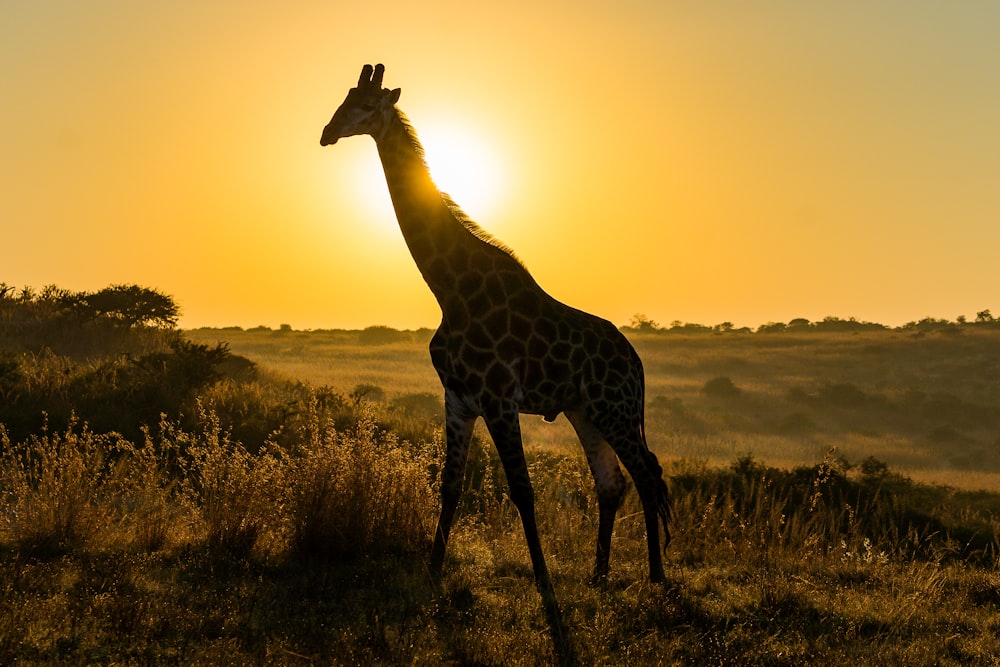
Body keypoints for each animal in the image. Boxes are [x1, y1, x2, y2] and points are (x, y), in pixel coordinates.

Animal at [316, 62, 668, 588]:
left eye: (365, 104)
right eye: (343, 99)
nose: (326, 132)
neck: (450, 289)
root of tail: (637, 362)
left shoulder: (500, 399)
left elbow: (522, 490)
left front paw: (545, 586)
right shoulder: (458, 398)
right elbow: (449, 486)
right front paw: (433, 574)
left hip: (616, 408)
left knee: (647, 475)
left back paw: (657, 577)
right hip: (585, 410)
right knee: (612, 482)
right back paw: (598, 575)